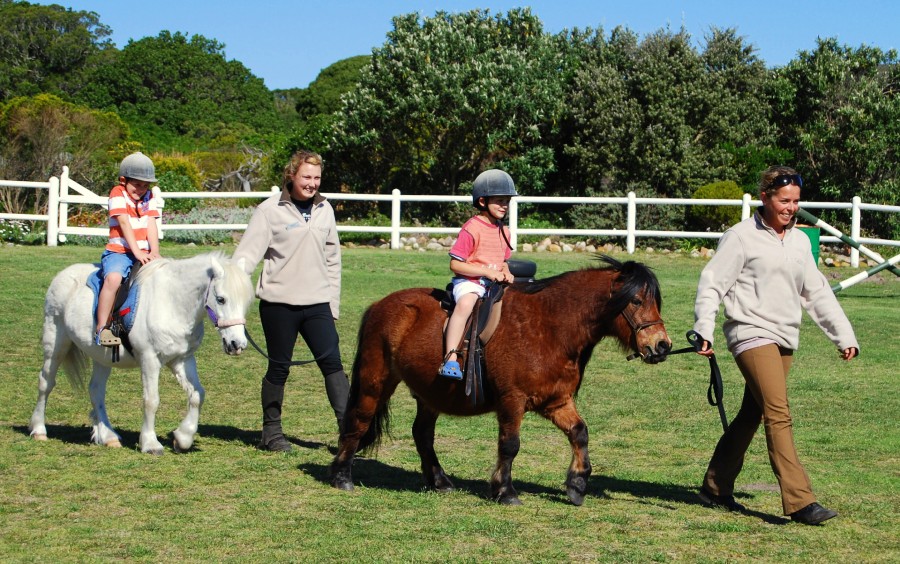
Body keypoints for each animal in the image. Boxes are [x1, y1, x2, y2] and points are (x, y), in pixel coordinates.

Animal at [29, 251, 253, 454]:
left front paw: (183, 438)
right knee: (46, 382)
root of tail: (63, 274)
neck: (172, 302)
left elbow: (198, 394)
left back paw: (108, 436)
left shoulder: (182, 359)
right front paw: (150, 443)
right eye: (221, 299)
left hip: (102, 356)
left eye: (246, 302)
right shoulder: (149, 359)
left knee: (96, 390)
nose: (237, 344)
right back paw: (39, 430)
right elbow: (151, 400)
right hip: (56, 342)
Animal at [328, 256, 668, 506]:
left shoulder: (556, 401)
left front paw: (577, 483)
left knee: (422, 434)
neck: (549, 327)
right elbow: (510, 445)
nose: (662, 345)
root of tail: (380, 305)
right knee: (359, 421)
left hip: (429, 394)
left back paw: (440, 481)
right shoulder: (512, 400)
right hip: (376, 380)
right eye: (636, 301)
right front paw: (505, 491)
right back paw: (342, 476)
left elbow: (579, 433)